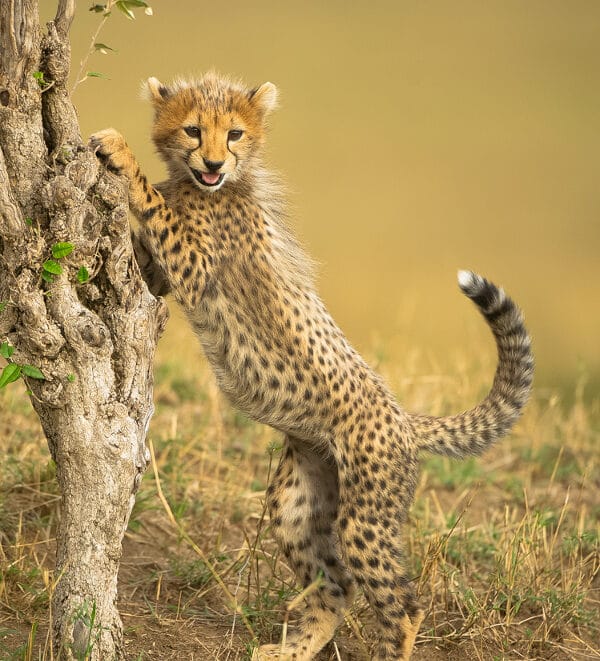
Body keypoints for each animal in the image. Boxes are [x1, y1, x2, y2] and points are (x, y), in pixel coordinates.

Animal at [90, 71, 533, 660]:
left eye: (234, 134)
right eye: (193, 130)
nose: (213, 163)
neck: (215, 187)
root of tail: (403, 417)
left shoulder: (196, 264)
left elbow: (153, 203)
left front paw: (119, 153)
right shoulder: (170, 271)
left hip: (366, 514)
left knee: (402, 604)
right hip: (298, 504)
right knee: (335, 584)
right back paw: (291, 650)